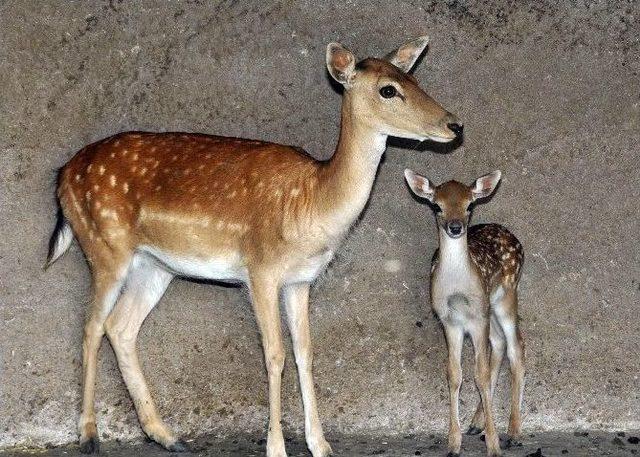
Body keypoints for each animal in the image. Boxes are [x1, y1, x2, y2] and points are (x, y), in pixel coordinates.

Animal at [47, 37, 462, 454]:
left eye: (413, 78)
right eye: (388, 89)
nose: (454, 124)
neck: (311, 202)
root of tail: (63, 177)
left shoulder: (301, 280)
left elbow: (305, 352)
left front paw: (321, 445)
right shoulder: (260, 269)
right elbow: (275, 354)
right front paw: (276, 446)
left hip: (154, 266)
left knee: (120, 327)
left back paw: (167, 436)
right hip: (104, 246)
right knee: (92, 326)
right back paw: (89, 434)